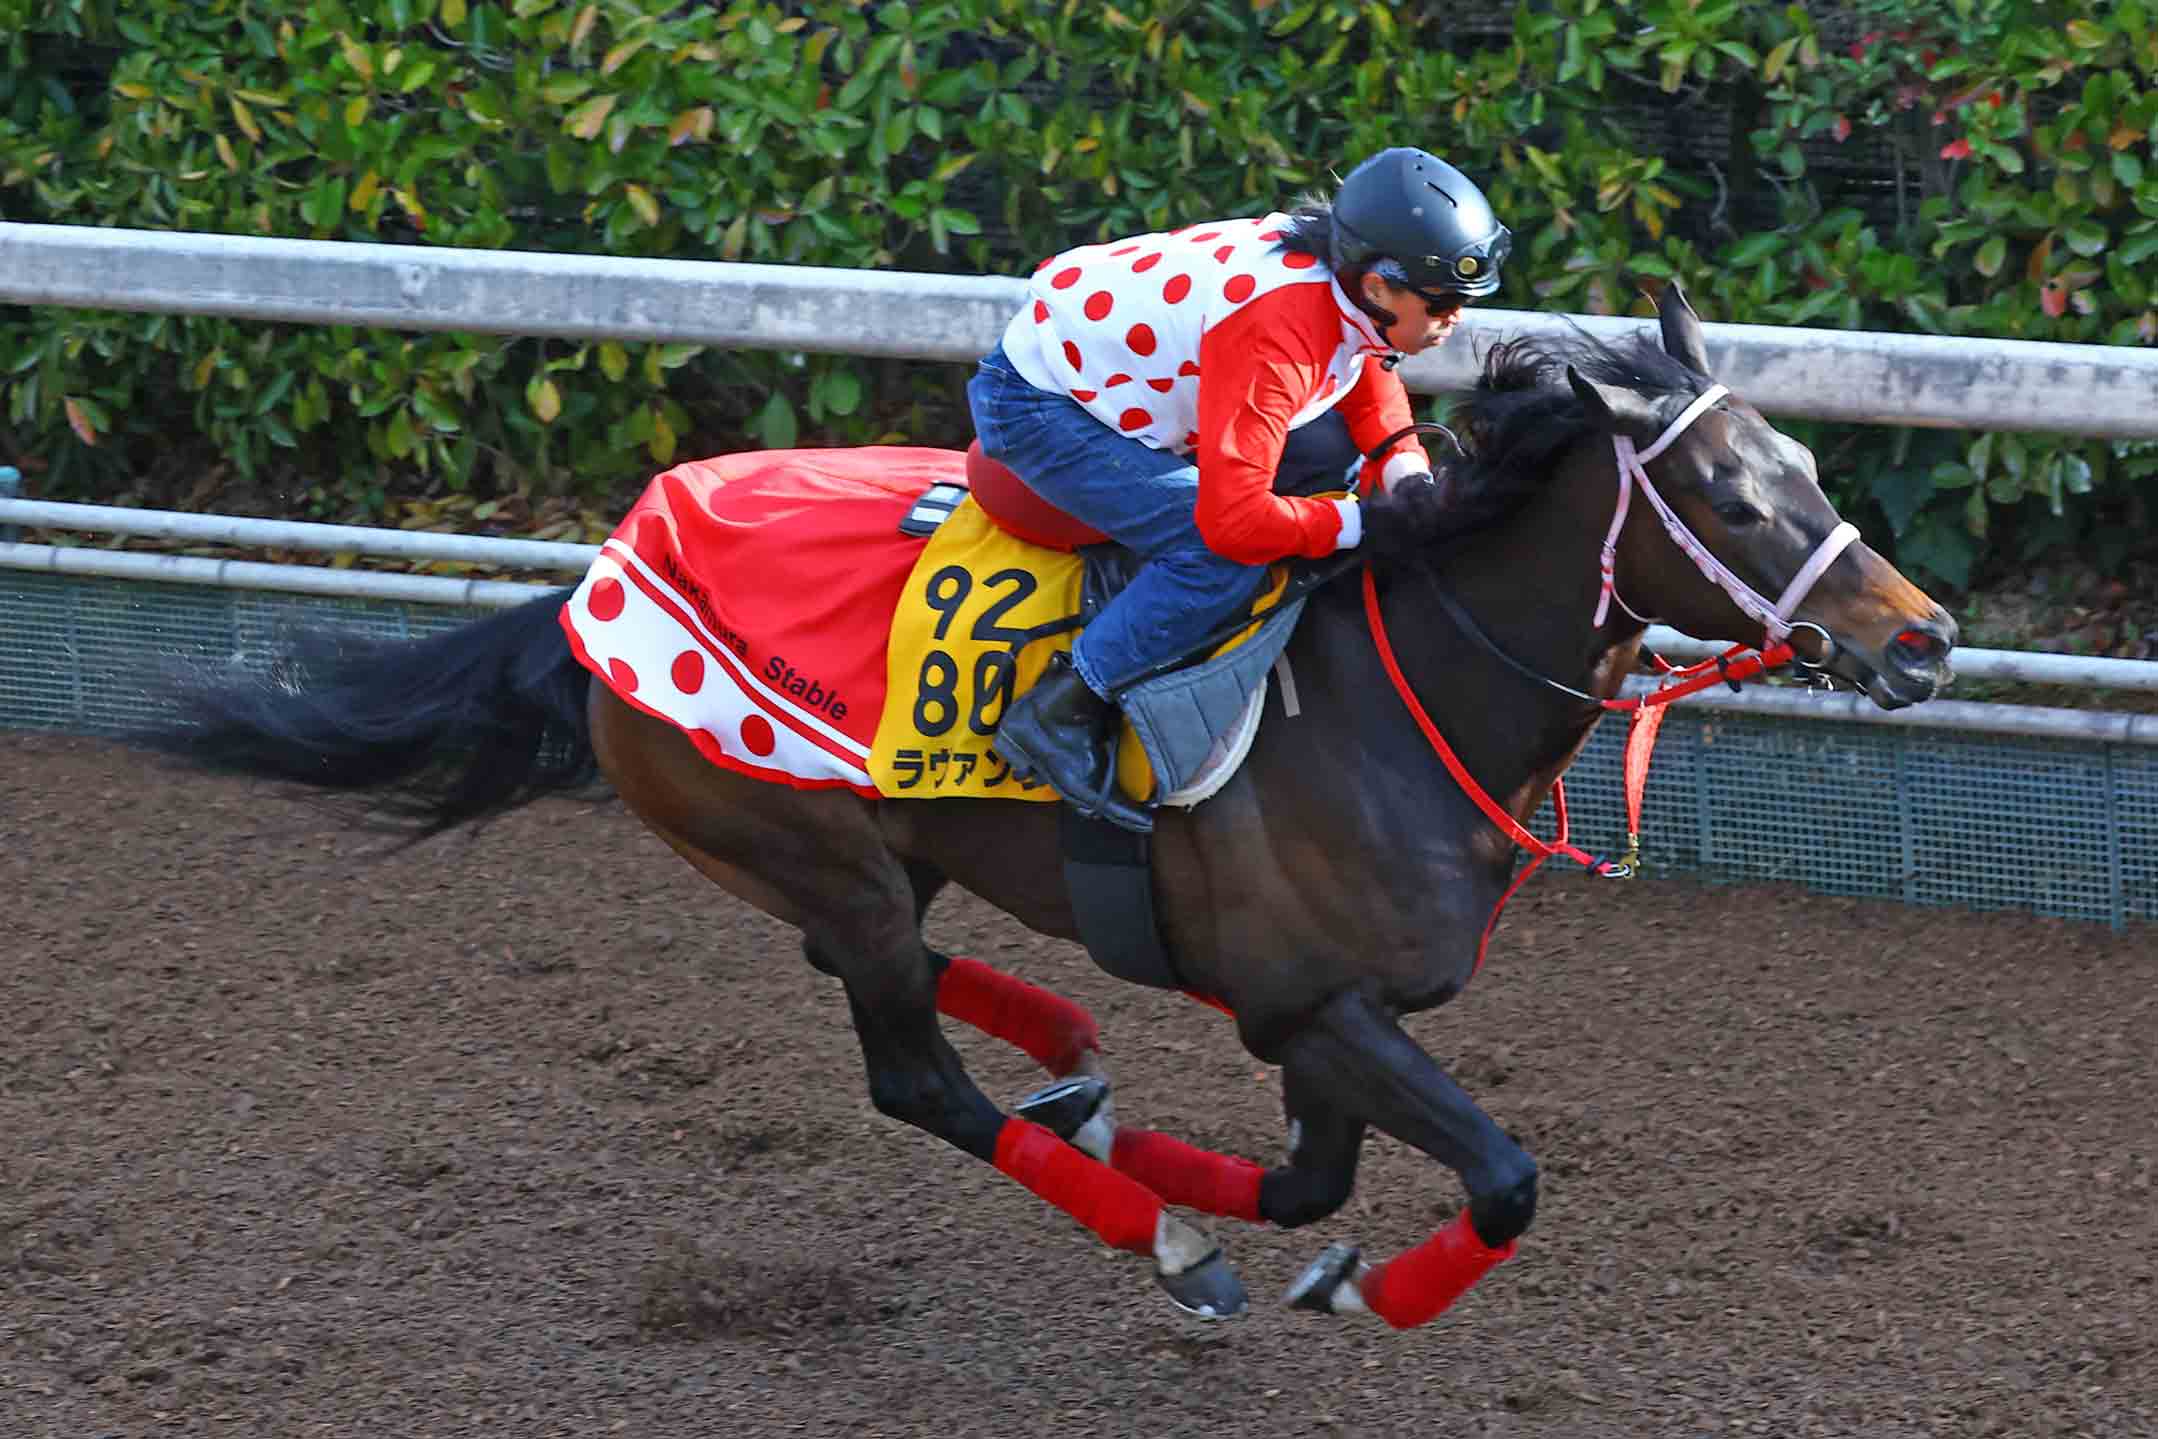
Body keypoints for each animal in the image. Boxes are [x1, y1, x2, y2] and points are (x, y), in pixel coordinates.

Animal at [144, 283, 1955, 1329]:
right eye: (1729, 494)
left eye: (1803, 465)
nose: (1921, 635)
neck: (1400, 703)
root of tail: (599, 571)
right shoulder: (1312, 999)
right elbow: (1496, 1174)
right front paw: (1326, 1276)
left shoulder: (1315, 1016)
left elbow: (1308, 1181)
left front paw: (1193, 1171)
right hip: (805, 839)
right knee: (904, 1068)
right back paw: (1143, 1218)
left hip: (883, 852)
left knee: (870, 974)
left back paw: (1076, 1069)